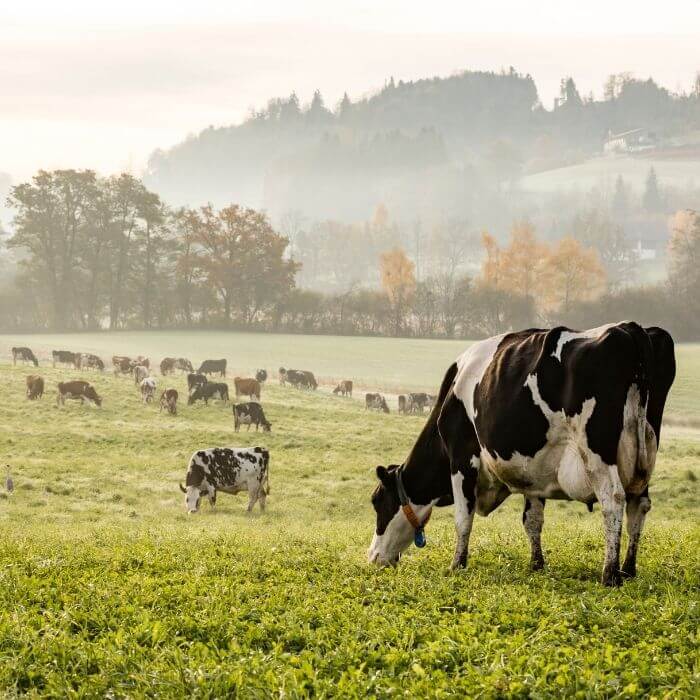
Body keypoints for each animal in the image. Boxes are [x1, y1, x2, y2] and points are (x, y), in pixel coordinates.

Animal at [370, 322, 676, 584]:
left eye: (377, 502)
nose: (372, 557)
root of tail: (629, 328)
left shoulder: (461, 457)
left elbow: (462, 518)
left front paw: (457, 564)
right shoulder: (534, 470)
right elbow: (532, 520)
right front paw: (536, 564)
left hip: (597, 452)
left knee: (613, 499)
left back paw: (610, 574)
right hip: (645, 453)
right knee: (639, 504)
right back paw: (628, 569)